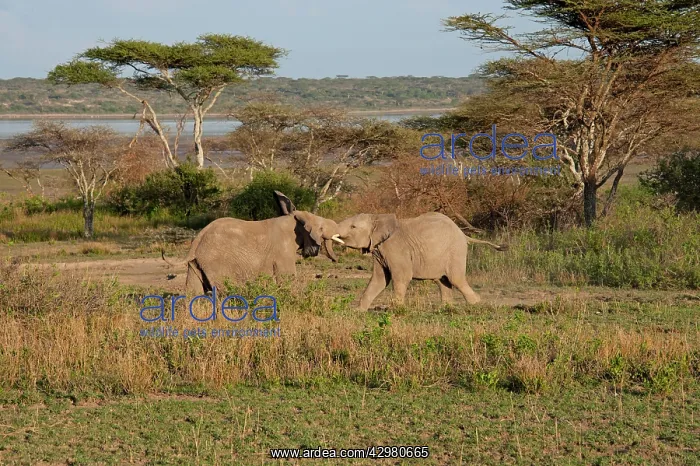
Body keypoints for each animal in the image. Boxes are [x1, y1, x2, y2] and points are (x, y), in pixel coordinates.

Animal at [162, 191, 339, 294]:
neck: (292, 219)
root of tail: (197, 240)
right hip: (216, 263)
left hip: (196, 263)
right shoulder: (283, 251)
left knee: (193, 292)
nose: (335, 260)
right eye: (321, 228)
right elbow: (287, 278)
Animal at [330, 212, 507, 311]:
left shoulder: (396, 248)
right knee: (442, 281)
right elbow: (379, 280)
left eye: (353, 227)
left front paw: (396, 310)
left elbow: (401, 277)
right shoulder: (380, 250)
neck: (378, 217)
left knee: (456, 279)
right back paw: (446, 309)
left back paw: (476, 304)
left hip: (455, 251)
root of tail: (464, 235)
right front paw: (359, 311)